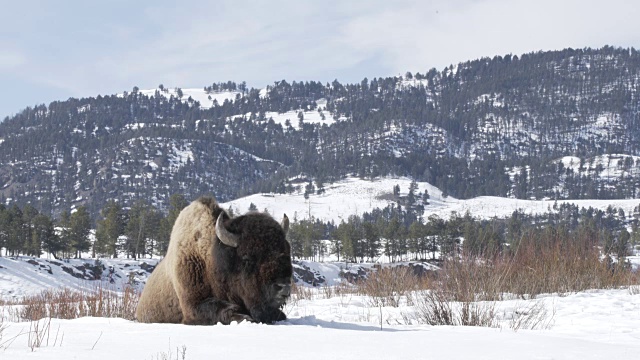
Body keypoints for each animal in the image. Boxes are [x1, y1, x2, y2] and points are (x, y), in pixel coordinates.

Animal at [139, 198, 294, 324]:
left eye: (286, 252)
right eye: (247, 258)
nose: (283, 286)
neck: (211, 260)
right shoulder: (193, 306)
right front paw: (244, 317)